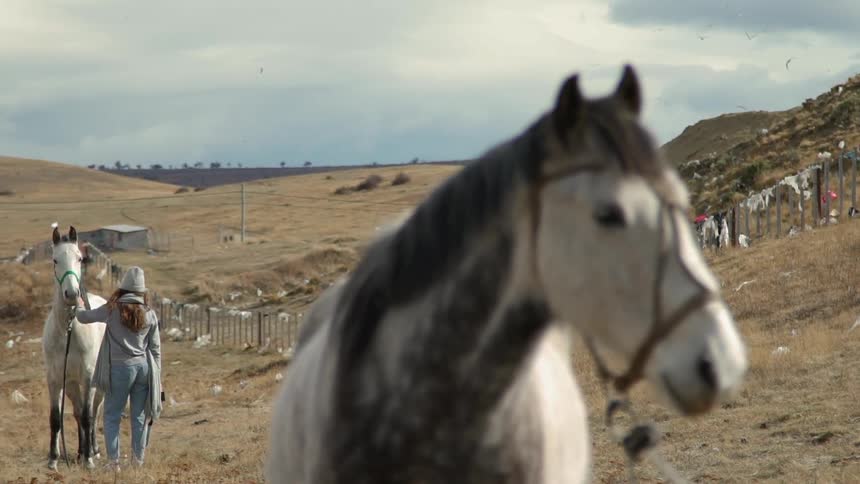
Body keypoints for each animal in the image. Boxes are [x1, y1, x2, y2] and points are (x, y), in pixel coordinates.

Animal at [42, 226, 107, 470]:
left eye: (80, 258)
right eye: (55, 260)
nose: (71, 294)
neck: (68, 329)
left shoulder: (88, 377)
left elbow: (89, 416)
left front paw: (89, 460)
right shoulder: (55, 379)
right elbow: (56, 418)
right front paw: (53, 459)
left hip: (99, 384)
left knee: (94, 412)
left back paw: (93, 451)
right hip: (70, 384)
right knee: (78, 412)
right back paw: (79, 452)